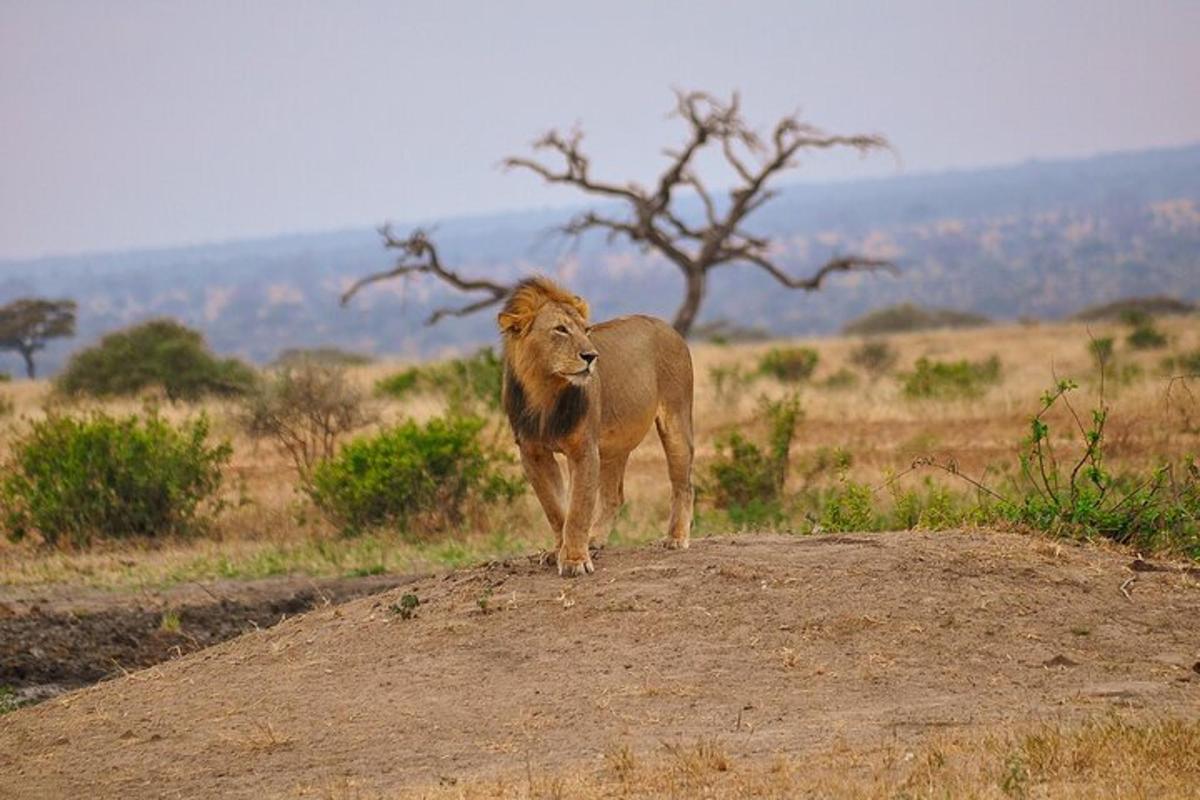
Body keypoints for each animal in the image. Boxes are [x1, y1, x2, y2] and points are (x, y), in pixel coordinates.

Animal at [499, 277, 696, 575]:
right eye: (560, 329)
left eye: (586, 330)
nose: (592, 356)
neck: (545, 391)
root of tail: (668, 327)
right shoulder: (533, 453)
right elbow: (556, 508)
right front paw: (559, 551)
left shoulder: (584, 449)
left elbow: (578, 509)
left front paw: (574, 561)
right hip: (614, 446)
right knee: (614, 496)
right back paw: (595, 539)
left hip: (676, 420)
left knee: (682, 484)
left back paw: (676, 537)